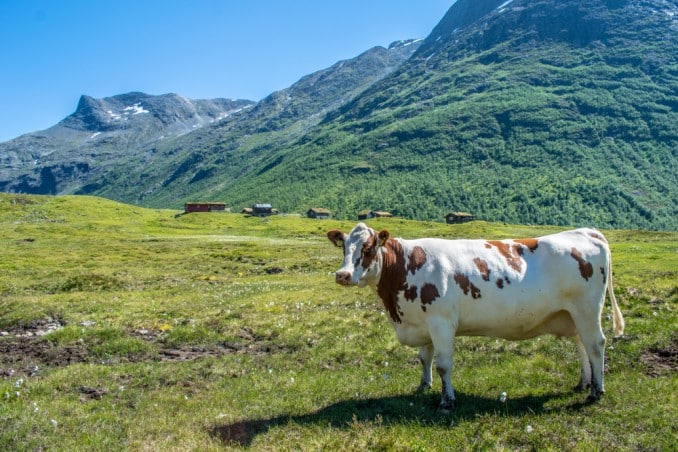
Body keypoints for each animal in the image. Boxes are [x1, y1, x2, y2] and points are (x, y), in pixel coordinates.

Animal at [330, 222, 628, 410]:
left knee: (595, 345)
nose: (342, 275)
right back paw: (584, 383)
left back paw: (596, 391)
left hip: (587, 309)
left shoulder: (441, 322)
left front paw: (447, 401)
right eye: (344, 247)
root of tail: (587, 232)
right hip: (572, 314)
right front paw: (423, 386)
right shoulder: (423, 323)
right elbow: (424, 359)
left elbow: (443, 365)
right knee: (582, 345)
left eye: (368, 249)